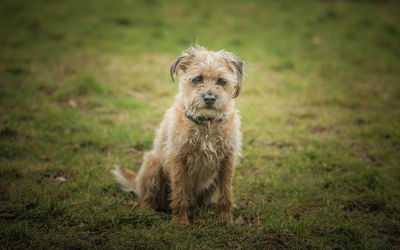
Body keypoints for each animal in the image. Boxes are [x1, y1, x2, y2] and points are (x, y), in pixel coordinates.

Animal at [111, 45, 245, 225]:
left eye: (221, 81)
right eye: (198, 79)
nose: (209, 98)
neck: (206, 124)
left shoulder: (227, 159)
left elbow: (226, 192)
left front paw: (225, 218)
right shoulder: (177, 158)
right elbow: (179, 192)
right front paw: (181, 221)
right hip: (152, 165)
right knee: (149, 198)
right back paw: (147, 211)